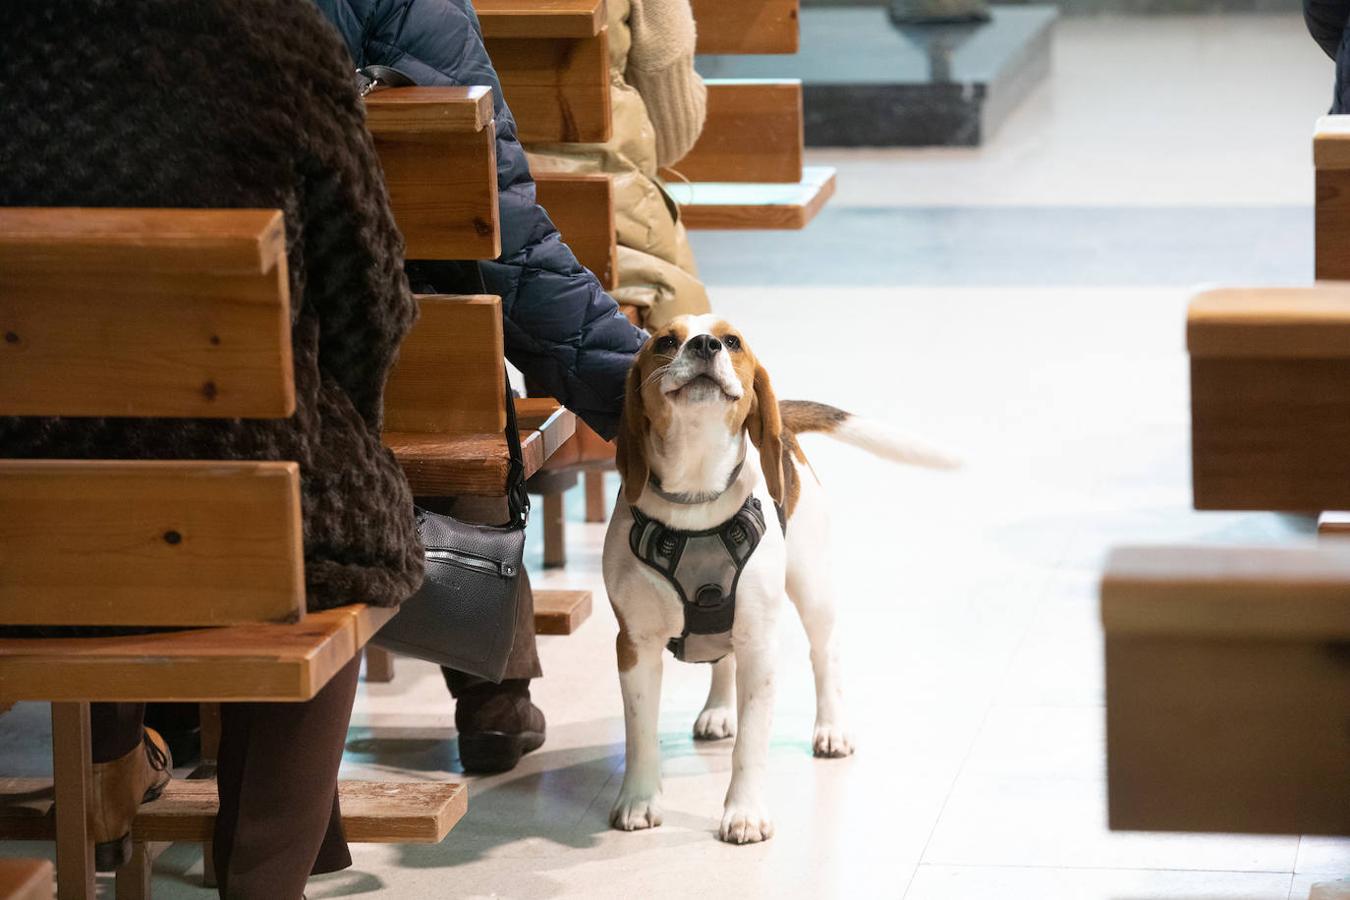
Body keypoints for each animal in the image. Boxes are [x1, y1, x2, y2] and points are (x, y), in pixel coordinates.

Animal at [602, 315, 950, 847]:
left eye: (731, 341)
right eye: (665, 341)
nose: (704, 344)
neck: (696, 494)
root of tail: (782, 424)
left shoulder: (761, 646)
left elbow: (751, 744)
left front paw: (744, 813)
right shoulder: (635, 644)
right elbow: (640, 732)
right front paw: (639, 800)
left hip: (813, 588)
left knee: (825, 654)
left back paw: (831, 728)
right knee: (721, 656)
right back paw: (719, 710)